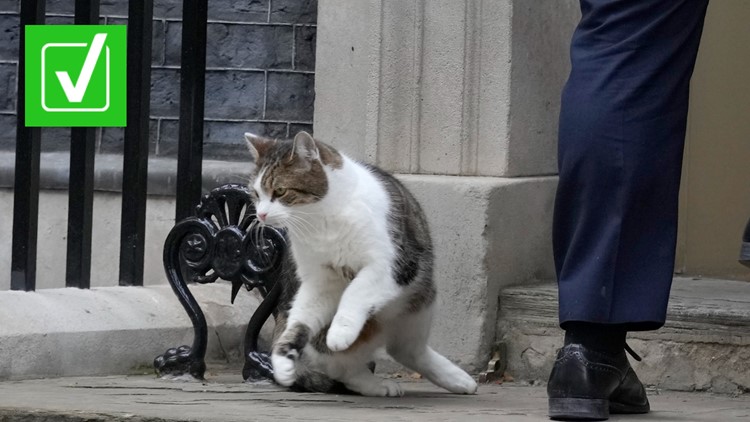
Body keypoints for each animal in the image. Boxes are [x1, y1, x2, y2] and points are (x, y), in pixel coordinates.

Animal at [248, 131, 482, 396]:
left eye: (280, 191)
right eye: (256, 194)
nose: (261, 215)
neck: (322, 222)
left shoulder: (392, 264)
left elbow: (357, 291)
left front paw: (340, 331)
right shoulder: (320, 281)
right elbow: (301, 321)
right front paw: (283, 360)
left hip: (420, 301)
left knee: (408, 349)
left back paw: (458, 380)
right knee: (344, 368)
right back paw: (378, 384)